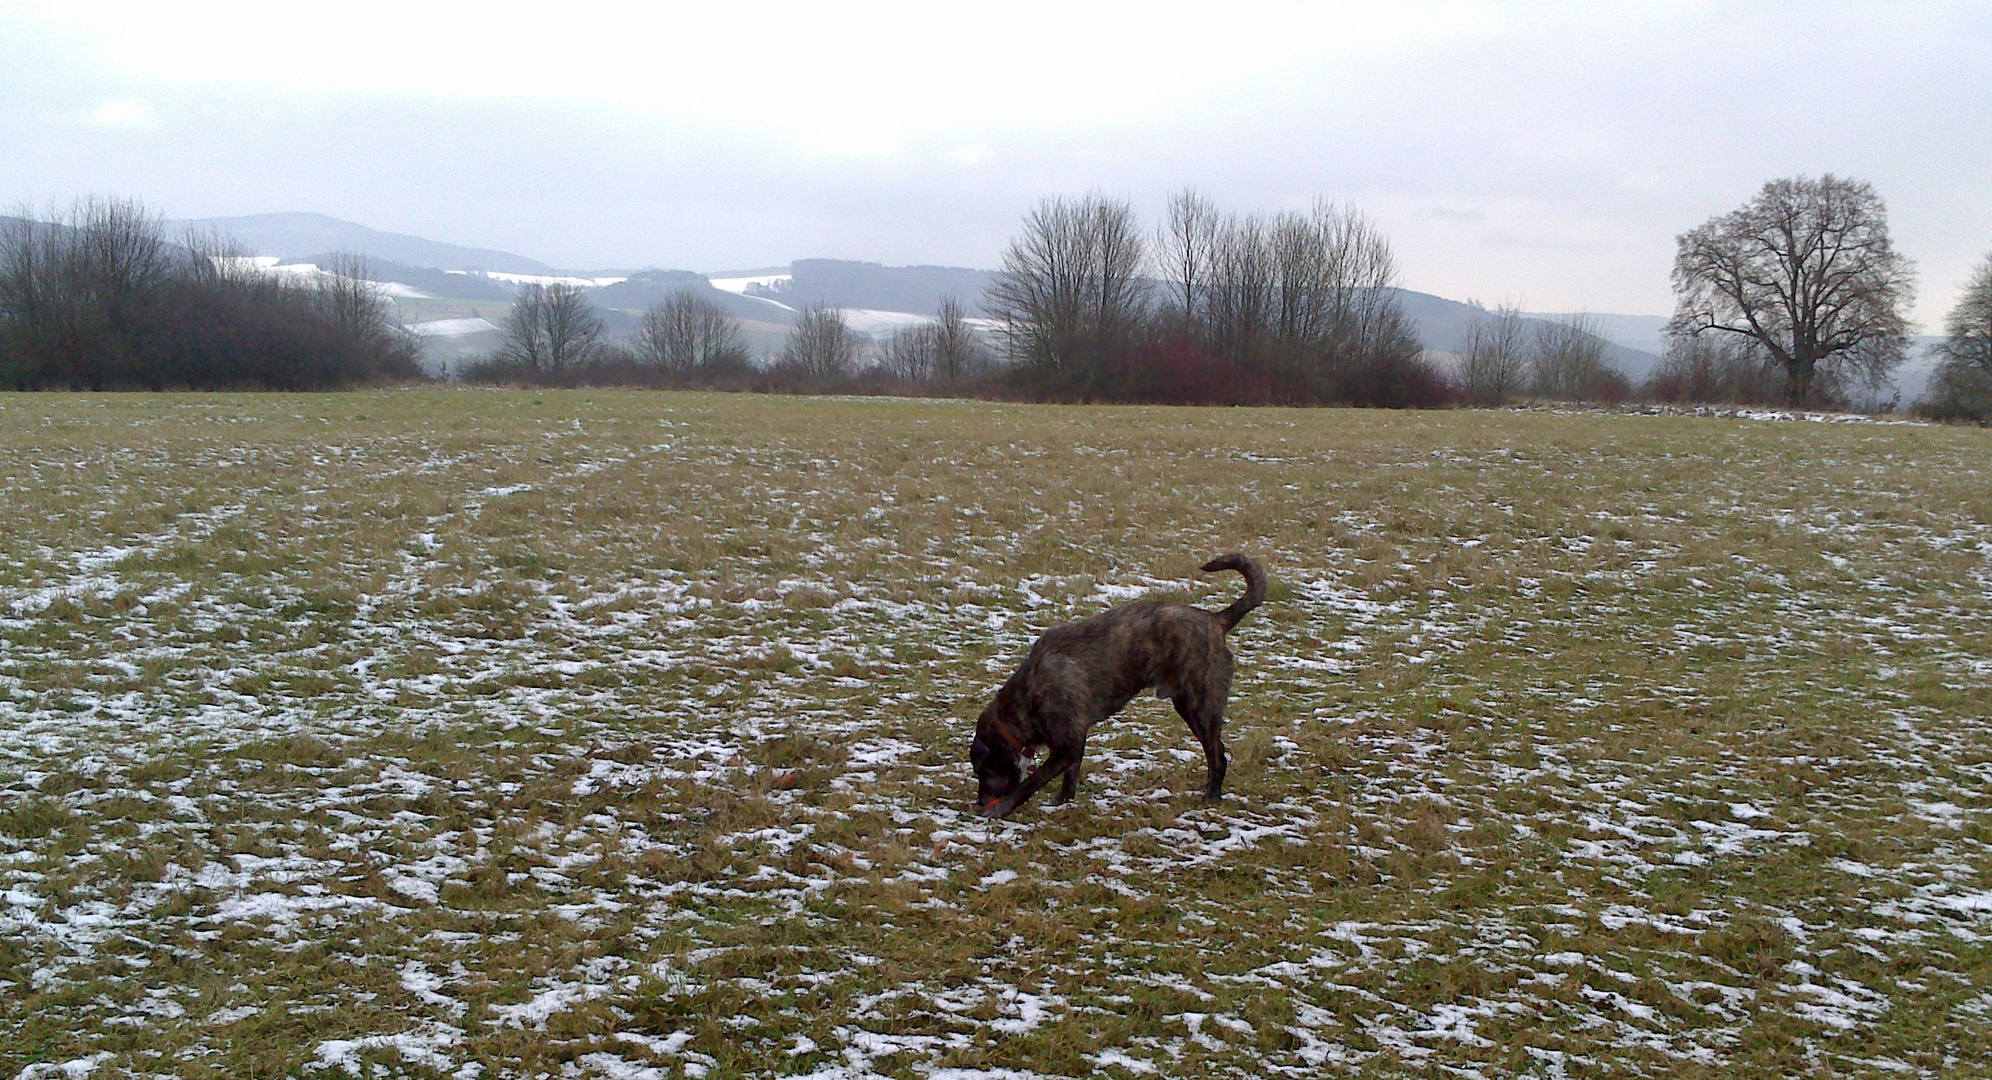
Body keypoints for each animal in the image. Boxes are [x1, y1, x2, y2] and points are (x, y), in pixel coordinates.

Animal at [972, 557, 1266, 820]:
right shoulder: (1075, 742)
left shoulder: (1066, 746)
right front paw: (1063, 801)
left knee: (1218, 757)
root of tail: (1215, 620)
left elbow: (1032, 782)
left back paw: (1212, 797)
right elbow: (1071, 774)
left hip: (1198, 707)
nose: (980, 802)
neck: (1027, 693)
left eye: (982, 771)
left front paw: (1004, 807)